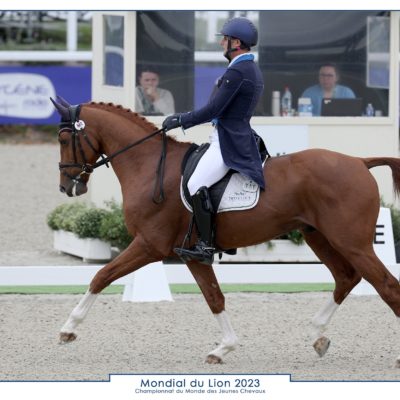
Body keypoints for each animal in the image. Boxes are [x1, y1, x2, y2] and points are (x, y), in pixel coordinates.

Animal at [51, 97, 400, 366]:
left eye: (64, 140)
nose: (67, 187)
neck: (148, 165)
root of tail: (359, 161)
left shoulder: (149, 245)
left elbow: (101, 276)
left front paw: (68, 329)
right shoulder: (191, 254)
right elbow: (214, 296)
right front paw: (223, 348)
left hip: (351, 242)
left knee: (386, 286)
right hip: (319, 236)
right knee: (346, 277)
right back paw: (317, 335)